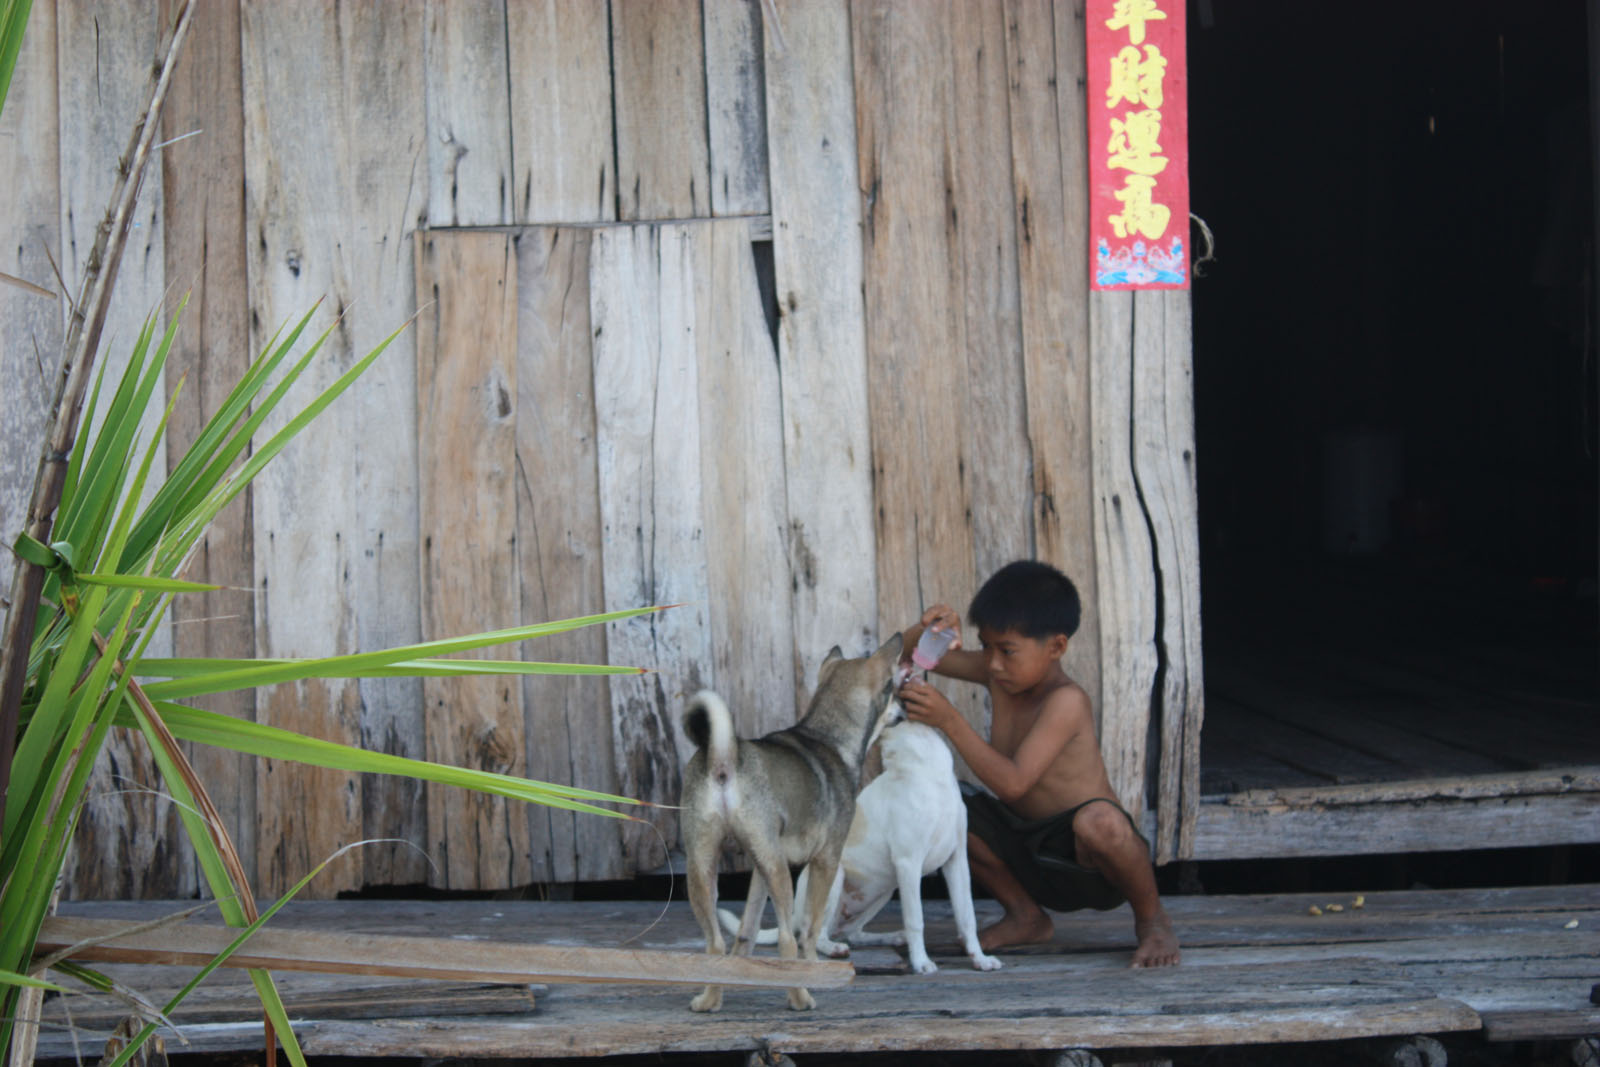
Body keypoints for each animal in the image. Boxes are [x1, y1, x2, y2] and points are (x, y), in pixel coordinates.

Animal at [723, 703, 998, 972]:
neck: (927, 767)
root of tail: (795, 916)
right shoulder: (908, 862)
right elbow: (915, 918)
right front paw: (921, 962)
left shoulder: (957, 860)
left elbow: (967, 916)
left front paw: (980, 959)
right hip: (835, 877)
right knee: (813, 933)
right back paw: (833, 948)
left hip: (885, 890)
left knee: (851, 932)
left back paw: (891, 937)